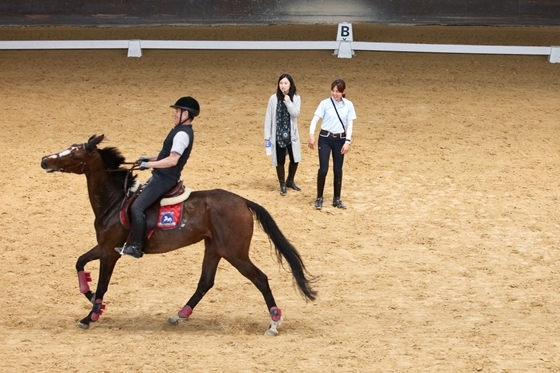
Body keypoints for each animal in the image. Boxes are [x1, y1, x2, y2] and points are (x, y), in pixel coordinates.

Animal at [40, 134, 316, 334]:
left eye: (74, 153)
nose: (44, 160)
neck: (115, 200)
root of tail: (243, 201)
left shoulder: (111, 253)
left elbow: (102, 284)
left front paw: (91, 315)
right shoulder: (104, 247)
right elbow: (80, 263)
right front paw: (89, 297)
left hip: (234, 253)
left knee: (260, 279)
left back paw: (274, 322)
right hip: (214, 248)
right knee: (205, 282)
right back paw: (179, 315)